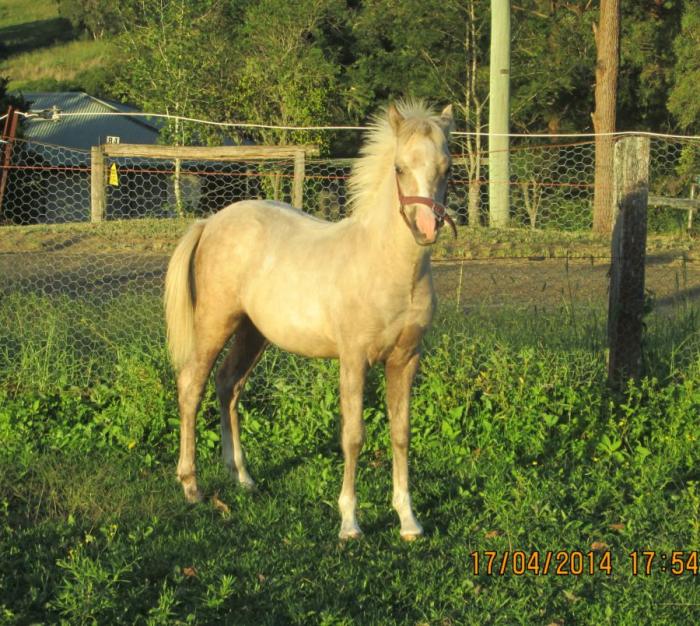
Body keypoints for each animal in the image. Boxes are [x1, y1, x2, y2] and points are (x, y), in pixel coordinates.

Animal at [164, 100, 455, 540]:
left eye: (447, 166)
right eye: (400, 167)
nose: (425, 228)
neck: (388, 268)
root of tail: (209, 222)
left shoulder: (406, 360)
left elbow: (401, 434)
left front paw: (408, 520)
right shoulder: (353, 360)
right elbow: (353, 437)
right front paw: (349, 522)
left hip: (252, 333)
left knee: (228, 385)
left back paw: (243, 477)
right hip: (215, 324)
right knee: (191, 386)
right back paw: (191, 486)